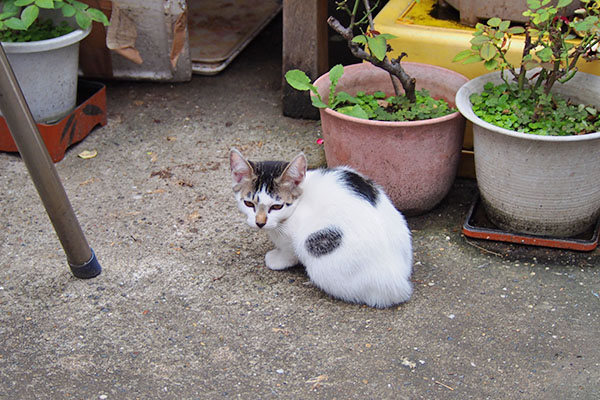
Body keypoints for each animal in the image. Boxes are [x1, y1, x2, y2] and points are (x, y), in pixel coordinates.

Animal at [230, 148, 412, 308]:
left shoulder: (293, 238)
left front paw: (277, 259)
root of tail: (397, 281)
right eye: (248, 203)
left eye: (276, 206)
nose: (260, 222)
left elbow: (289, 252)